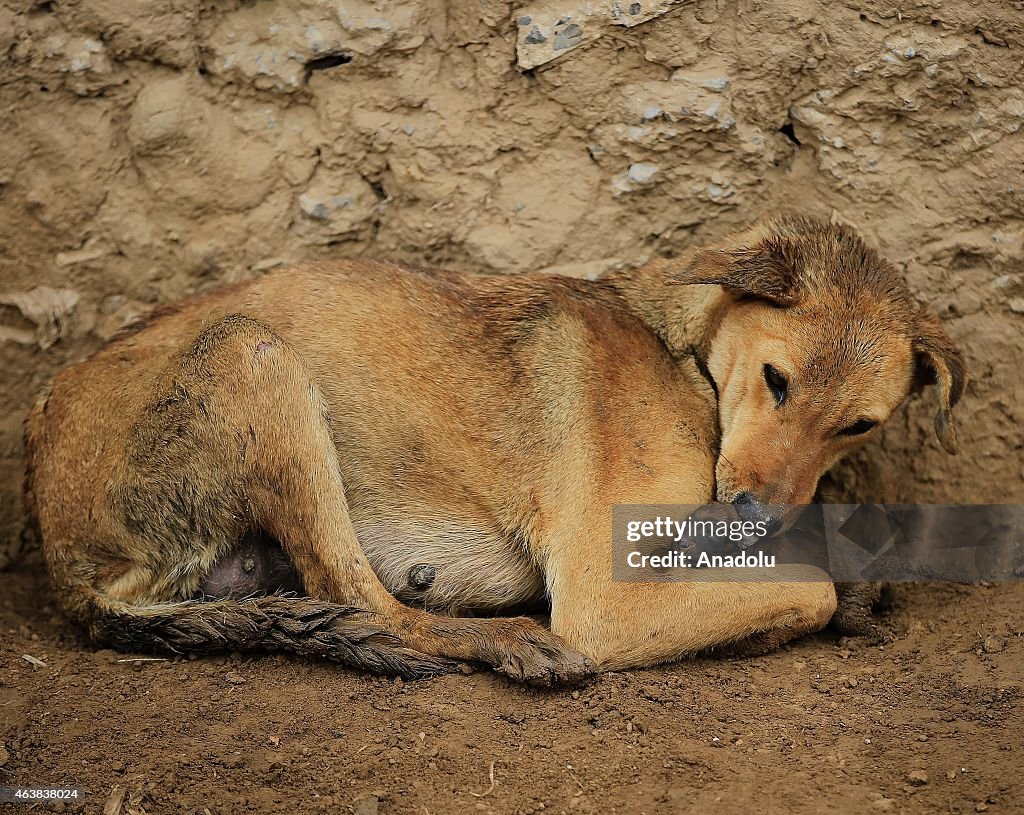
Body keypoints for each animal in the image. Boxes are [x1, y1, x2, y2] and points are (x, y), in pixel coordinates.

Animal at [25, 211, 966, 679]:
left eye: (859, 424)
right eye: (776, 379)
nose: (753, 517)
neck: (685, 352)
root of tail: (66, 567)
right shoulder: (604, 602)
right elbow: (806, 590)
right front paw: (835, 593)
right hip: (250, 352)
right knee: (364, 599)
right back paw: (507, 643)